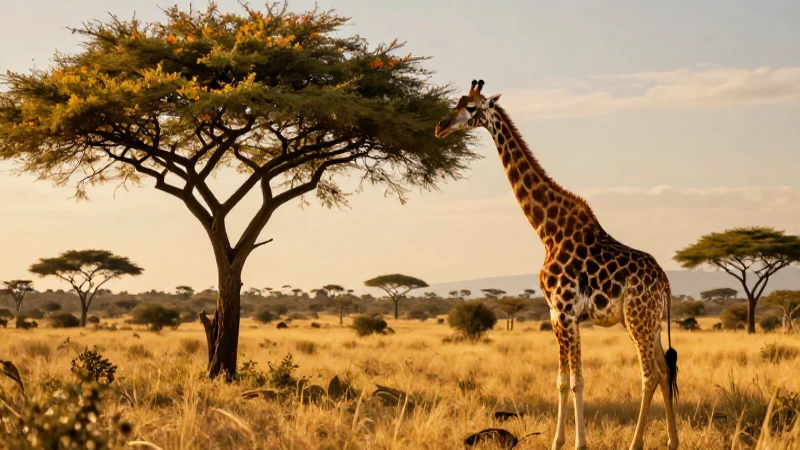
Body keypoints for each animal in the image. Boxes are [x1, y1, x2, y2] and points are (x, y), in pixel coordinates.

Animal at [435, 80, 679, 450]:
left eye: (473, 108)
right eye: (457, 102)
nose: (441, 126)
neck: (548, 231)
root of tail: (664, 281)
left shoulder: (566, 312)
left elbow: (578, 380)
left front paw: (579, 443)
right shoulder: (555, 314)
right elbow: (562, 380)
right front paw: (557, 441)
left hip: (638, 318)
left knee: (649, 374)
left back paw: (636, 443)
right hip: (647, 322)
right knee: (665, 371)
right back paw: (672, 441)